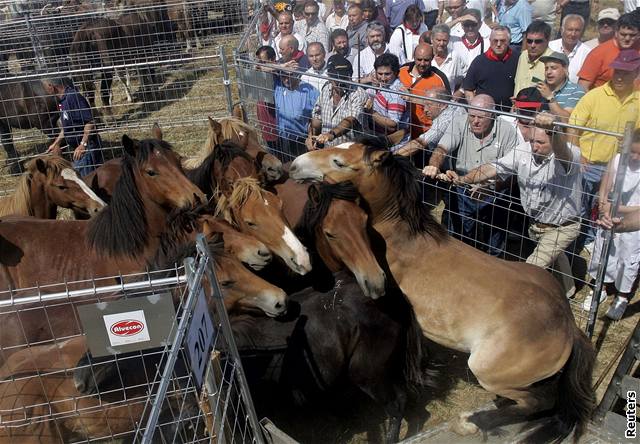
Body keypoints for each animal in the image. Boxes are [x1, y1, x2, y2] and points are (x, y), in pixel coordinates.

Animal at [288, 139, 596, 444]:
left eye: (339, 162)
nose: (294, 165)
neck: (398, 242)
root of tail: (569, 326)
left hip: (487, 371)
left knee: (538, 402)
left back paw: (470, 422)